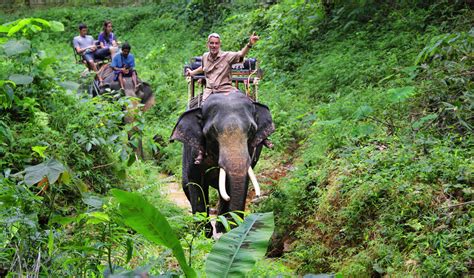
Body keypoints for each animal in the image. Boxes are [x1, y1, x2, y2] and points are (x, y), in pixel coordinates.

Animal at [170, 92, 274, 233]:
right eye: (212, 131)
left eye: (252, 130)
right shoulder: (193, 150)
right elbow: (195, 182)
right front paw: (203, 233)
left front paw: (229, 229)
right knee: (186, 184)